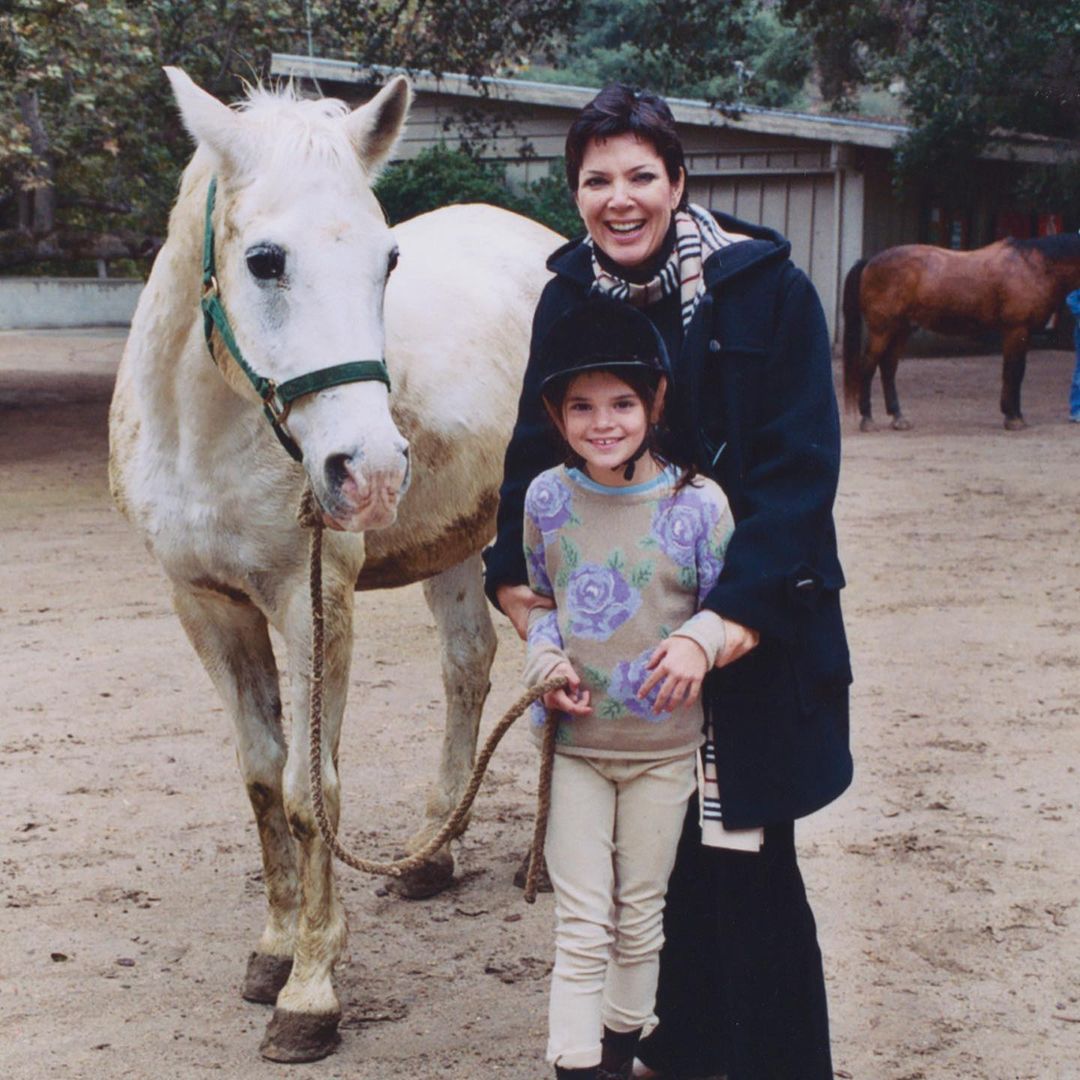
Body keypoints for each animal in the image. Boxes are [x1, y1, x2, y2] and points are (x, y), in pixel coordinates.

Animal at [109, 69, 557, 1062]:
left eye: (388, 262)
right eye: (265, 259)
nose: (372, 470)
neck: (206, 435)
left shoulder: (313, 605)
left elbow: (314, 796)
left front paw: (310, 994)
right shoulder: (208, 608)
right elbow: (262, 778)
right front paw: (274, 950)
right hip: (457, 545)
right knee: (470, 666)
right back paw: (433, 850)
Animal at [842, 234, 1080, 427]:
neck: (1032, 266)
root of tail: (869, 262)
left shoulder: (1023, 333)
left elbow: (1016, 372)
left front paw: (1015, 414)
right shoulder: (1016, 330)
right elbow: (1013, 372)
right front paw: (1013, 418)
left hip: (900, 329)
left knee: (888, 368)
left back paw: (898, 417)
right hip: (881, 330)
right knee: (868, 367)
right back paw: (867, 419)